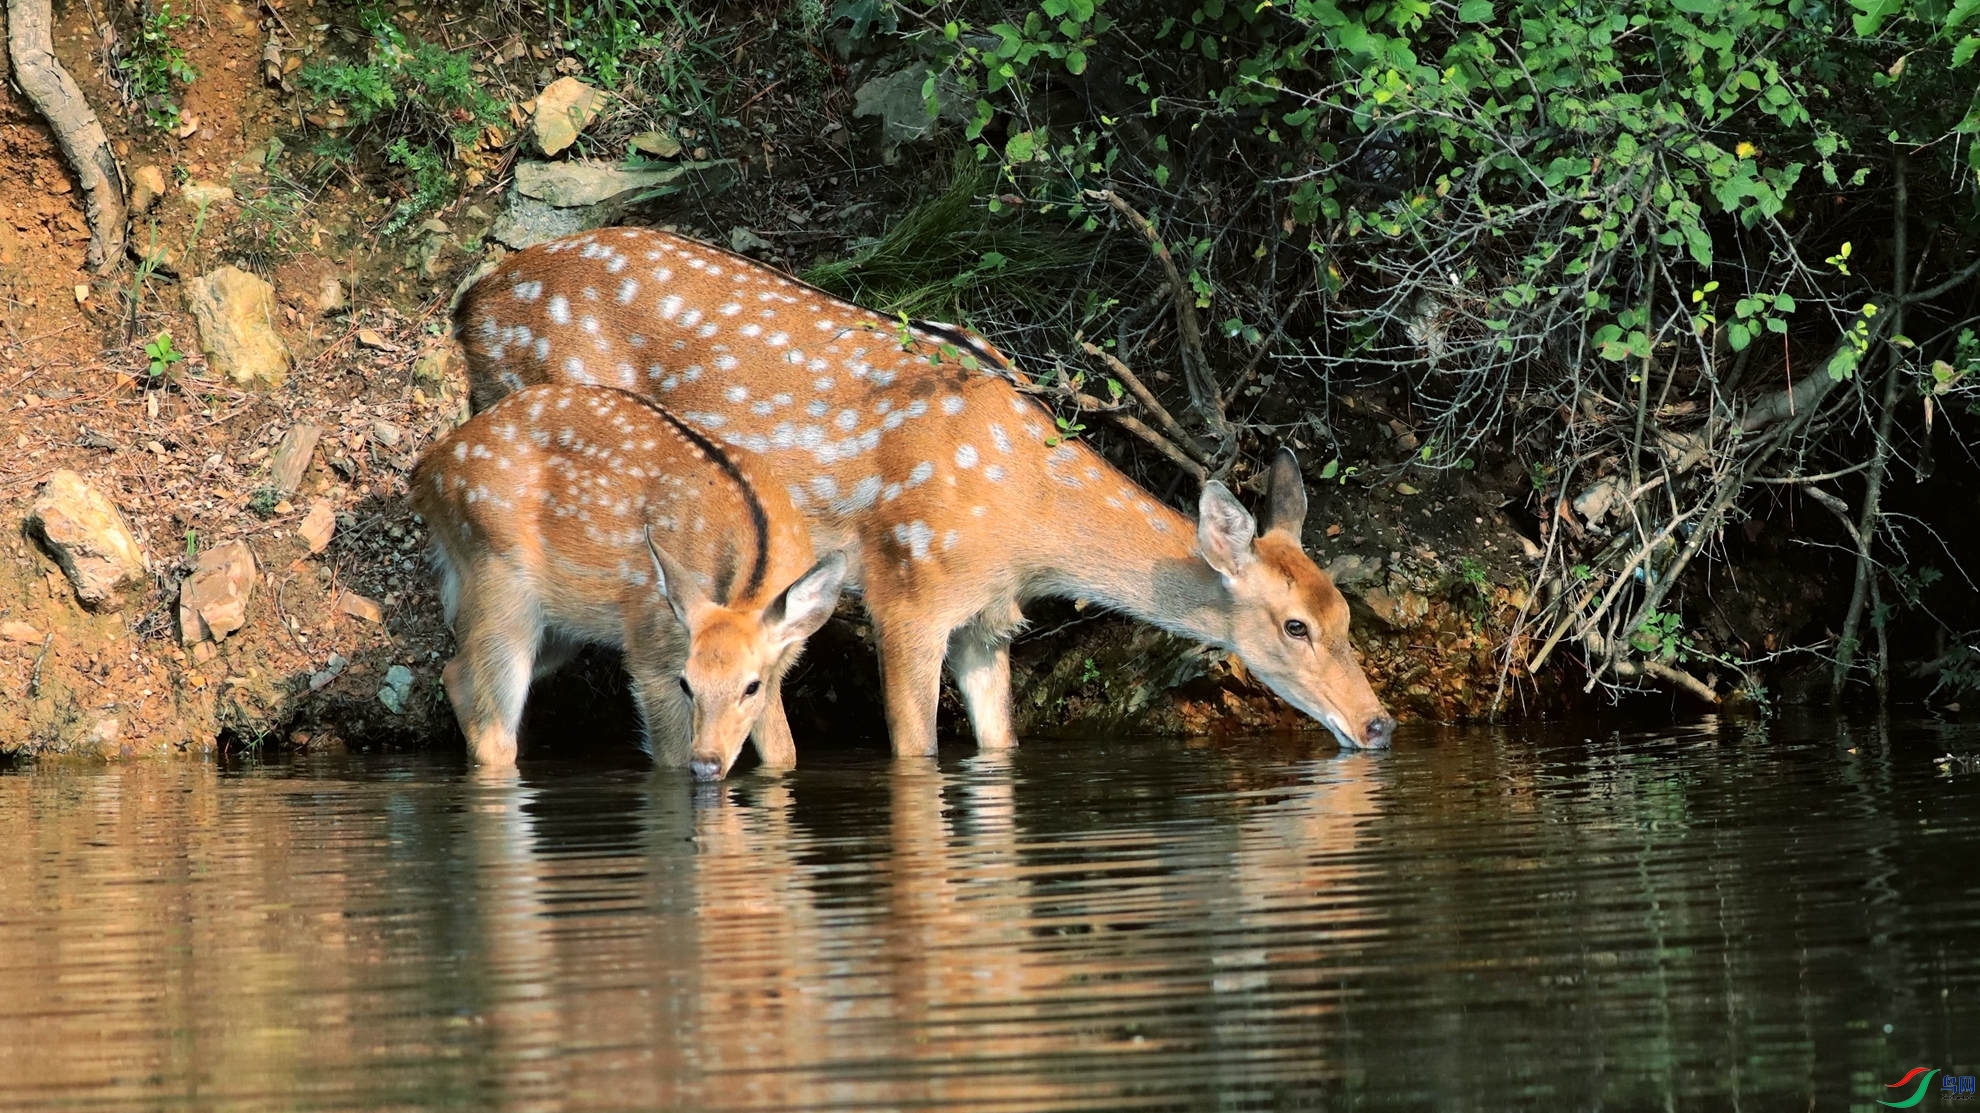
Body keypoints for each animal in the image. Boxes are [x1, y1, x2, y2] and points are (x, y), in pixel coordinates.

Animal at [413, 378, 847, 772]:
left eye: (750, 686)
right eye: (687, 683)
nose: (707, 762)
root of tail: (427, 470)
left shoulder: (778, 670)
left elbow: (784, 755)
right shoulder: (650, 652)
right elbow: (671, 763)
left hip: (560, 626)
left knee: (456, 674)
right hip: (498, 577)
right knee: (493, 733)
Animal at [457, 229, 1401, 756]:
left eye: (1347, 614)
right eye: (1295, 625)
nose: (1378, 723)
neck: (1025, 515)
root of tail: (471, 305)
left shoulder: (988, 619)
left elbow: (1000, 746)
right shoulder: (908, 587)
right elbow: (914, 753)